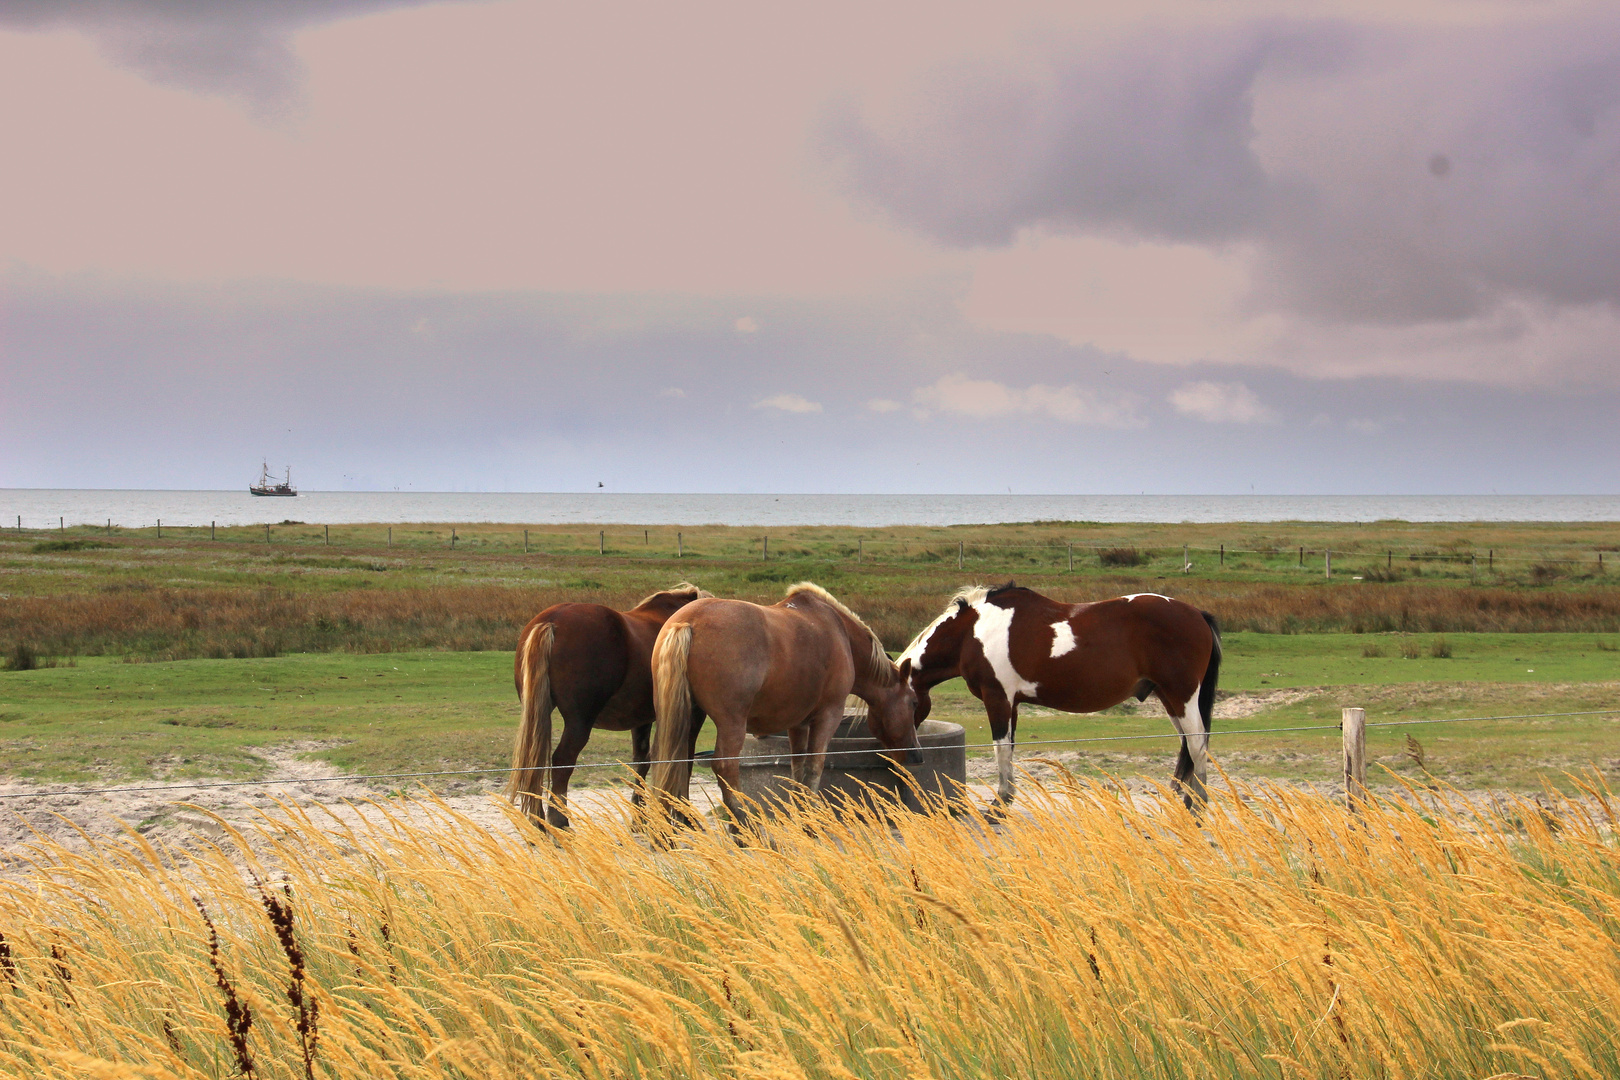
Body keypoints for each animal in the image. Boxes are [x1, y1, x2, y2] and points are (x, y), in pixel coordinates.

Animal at [505, 582, 709, 829]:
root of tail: (551, 620)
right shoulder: (691, 716)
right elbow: (683, 761)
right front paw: (684, 816)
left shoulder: (641, 719)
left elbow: (642, 761)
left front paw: (639, 816)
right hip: (579, 722)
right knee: (562, 761)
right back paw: (560, 820)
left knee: (534, 762)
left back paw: (538, 822)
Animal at [648, 582, 926, 829]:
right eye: (913, 703)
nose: (917, 755)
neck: (839, 631)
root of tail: (687, 622)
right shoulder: (828, 716)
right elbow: (814, 767)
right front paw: (811, 823)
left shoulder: (798, 724)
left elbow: (798, 769)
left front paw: (802, 816)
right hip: (731, 724)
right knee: (725, 768)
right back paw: (744, 829)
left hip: (688, 718)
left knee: (676, 761)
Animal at [894, 586, 1218, 806]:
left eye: (911, 704)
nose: (907, 750)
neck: (971, 633)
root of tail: (1197, 615)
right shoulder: (1012, 702)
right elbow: (1009, 749)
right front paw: (1007, 797)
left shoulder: (997, 697)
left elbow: (1000, 748)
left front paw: (999, 803)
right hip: (1168, 698)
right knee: (1187, 745)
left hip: (1182, 695)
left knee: (1197, 743)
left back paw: (1197, 805)